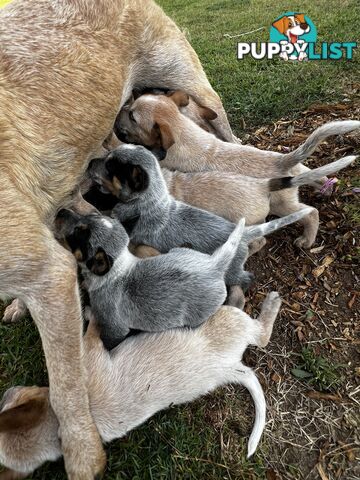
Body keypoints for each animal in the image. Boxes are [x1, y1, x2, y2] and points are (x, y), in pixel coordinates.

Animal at [0, 292, 282, 480]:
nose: (7, 391)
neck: (62, 422)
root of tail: (230, 367)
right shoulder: (91, 353)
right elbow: (92, 332)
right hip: (230, 322)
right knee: (261, 334)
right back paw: (270, 302)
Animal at [55, 209, 245, 348]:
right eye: (91, 213)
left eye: (78, 234)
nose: (62, 210)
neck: (117, 269)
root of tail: (214, 265)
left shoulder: (115, 328)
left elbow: (108, 341)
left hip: (197, 316)